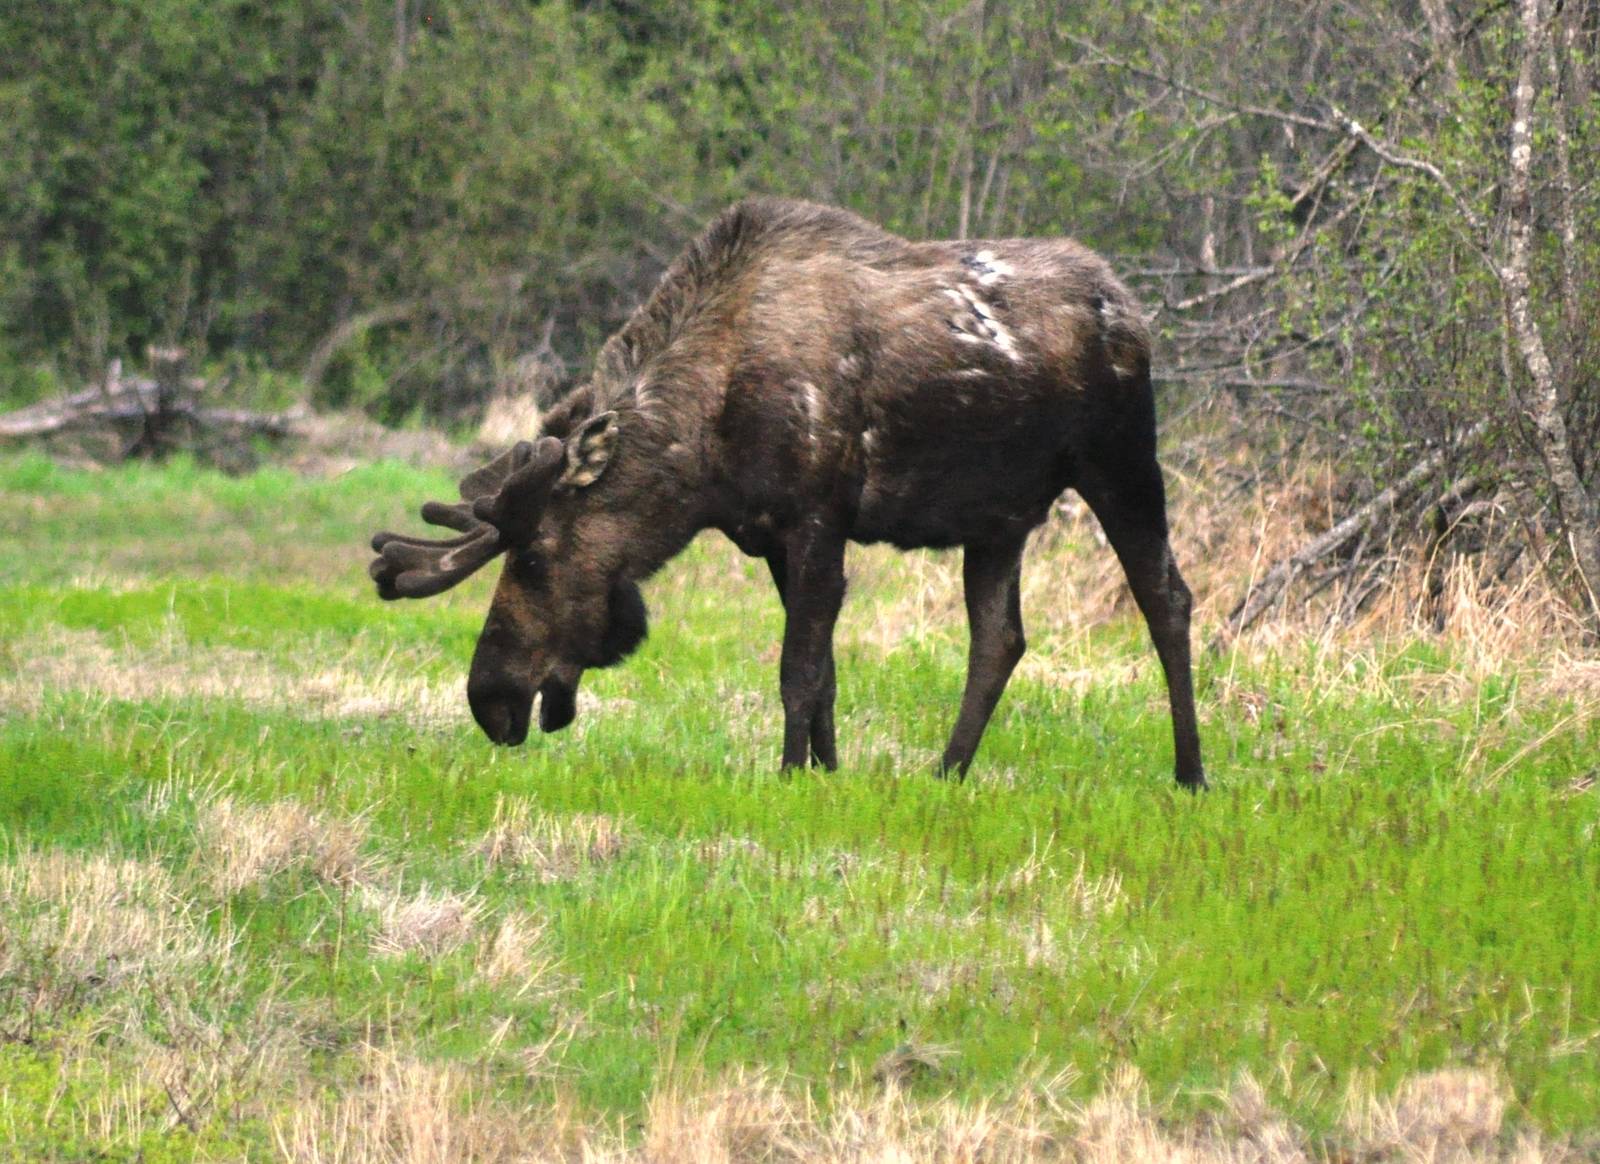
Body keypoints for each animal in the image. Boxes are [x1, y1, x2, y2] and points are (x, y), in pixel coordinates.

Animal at [370, 198, 1205, 789]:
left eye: (537, 557)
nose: (489, 699)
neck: (701, 455)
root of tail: (1130, 306)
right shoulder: (769, 533)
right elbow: (825, 674)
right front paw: (825, 773)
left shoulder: (817, 518)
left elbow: (797, 671)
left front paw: (786, 774)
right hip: (998, 518)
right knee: (999, 639)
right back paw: (946, 772)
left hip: (1121, 461)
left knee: (1167, 597)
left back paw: (1191, 773)